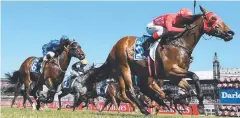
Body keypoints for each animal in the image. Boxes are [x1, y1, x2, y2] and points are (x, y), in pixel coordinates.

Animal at [86, 5, 234, 114]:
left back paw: (156, 103)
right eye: (213, 18)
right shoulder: (171, 71)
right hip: (124, 68)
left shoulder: (175, 76)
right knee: (130, 90)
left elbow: (189, 90)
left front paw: (179, 100)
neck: (179, 43)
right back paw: (144, 109)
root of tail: (114, 47)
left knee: (142, 88)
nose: (230, 33)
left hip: (142, 72)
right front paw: (197, 105)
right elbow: (195, 77)